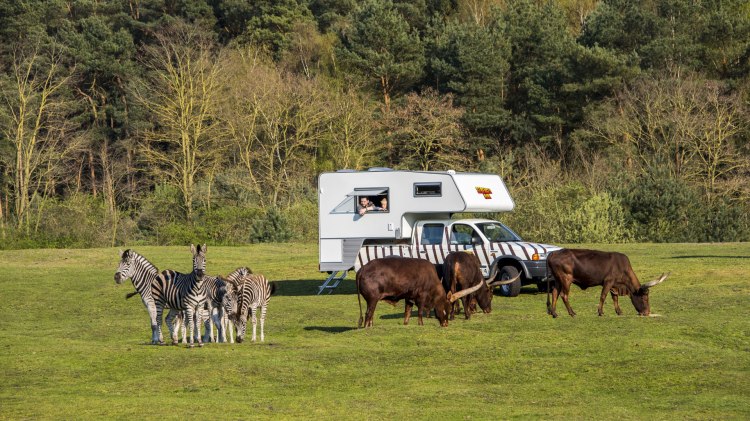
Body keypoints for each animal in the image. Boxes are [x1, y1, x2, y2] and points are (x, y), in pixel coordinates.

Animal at [356, 254, 484, 326]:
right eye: (445, 308)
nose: (445, 324)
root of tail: (362, 269)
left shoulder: (409, 298)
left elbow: (407, 312)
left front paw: (406, 324)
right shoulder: (422, 296)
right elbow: (420, 311)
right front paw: (421, 324)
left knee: (371, 315)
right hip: (372, 299)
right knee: (368, 314)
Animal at [544, 248, 672, 316]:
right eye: (644, 298)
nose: (647, 312)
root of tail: (554, 252)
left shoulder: (614, 286)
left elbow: (615, 298)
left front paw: (619, 311)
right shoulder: (608, 282)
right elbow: (603, 296)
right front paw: (600, 311)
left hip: (558, 280)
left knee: (554, 293)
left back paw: (554, 313)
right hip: (566, 279)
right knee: (563, 295)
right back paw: (572, 312)